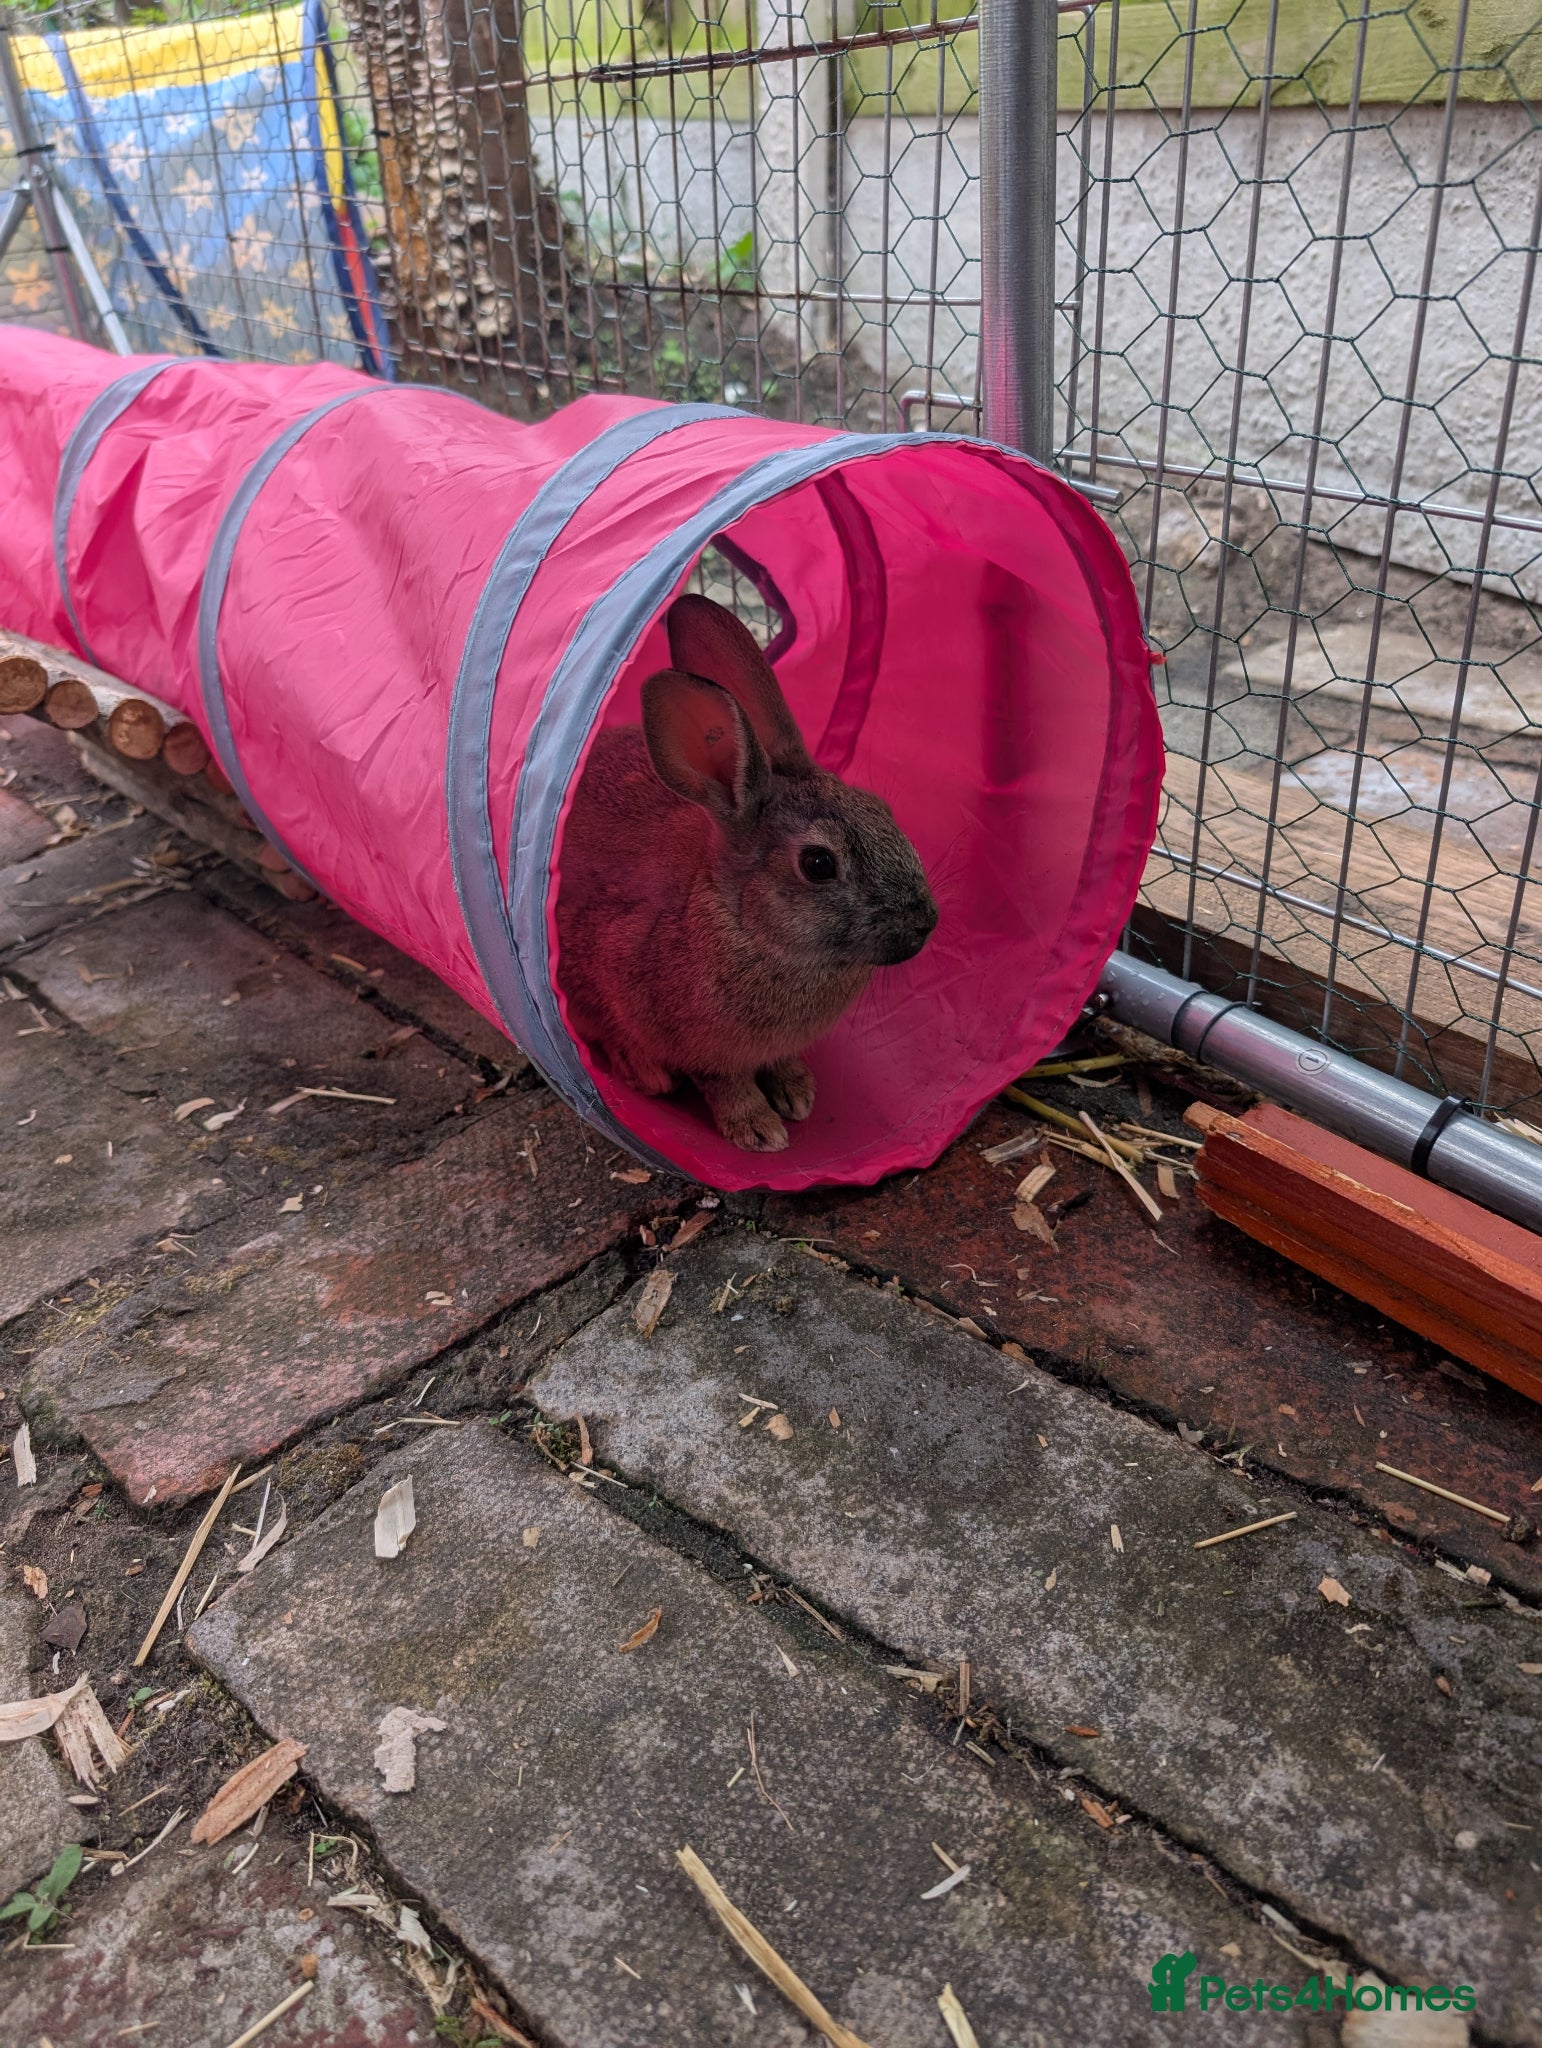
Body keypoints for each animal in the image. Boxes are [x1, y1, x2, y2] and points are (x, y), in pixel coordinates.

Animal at [556, 592, 939, 1152]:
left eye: (881, 809)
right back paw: (645, 1072)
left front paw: (798, 1092)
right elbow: (724, 1082)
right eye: (818, 864)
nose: (926, 922)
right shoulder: (695, 1044)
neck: (748, 928)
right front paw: (760, 1130)